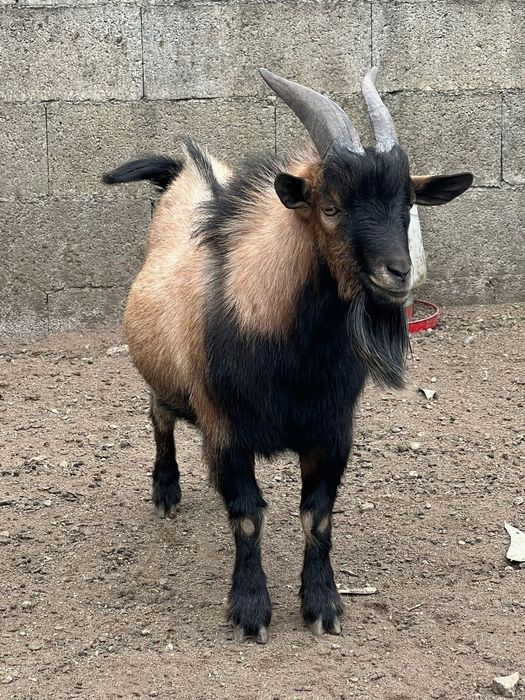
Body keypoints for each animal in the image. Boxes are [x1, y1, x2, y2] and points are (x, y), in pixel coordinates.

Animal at [104, 67, 473, 643]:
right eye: (331, 206)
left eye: (408, 203)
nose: (398, 274)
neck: (292, 356)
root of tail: (184, 176)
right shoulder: (225, 430)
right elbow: (248, 516)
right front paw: (250, 610)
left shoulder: (331, 431)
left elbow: (316, 515)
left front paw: (322, 604)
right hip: (165, 379)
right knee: (159, 416)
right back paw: (166, 491)